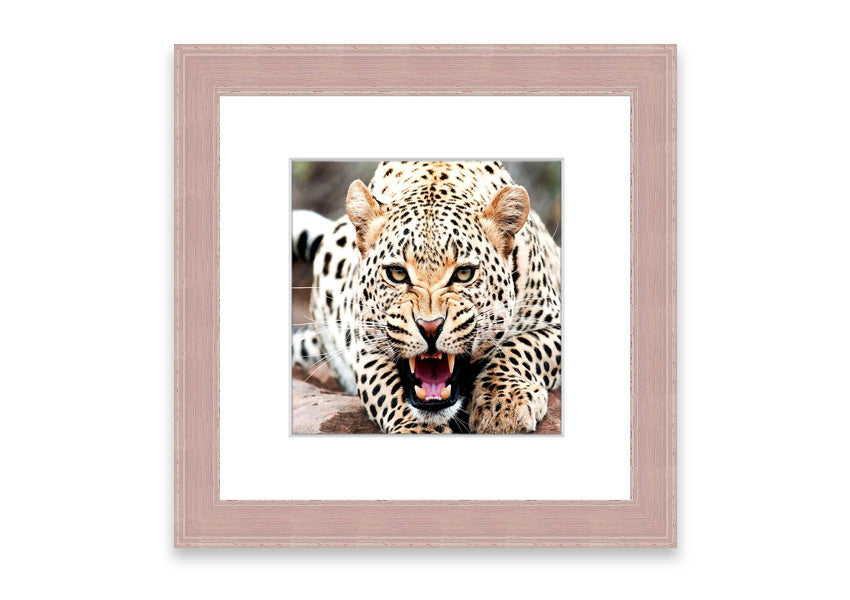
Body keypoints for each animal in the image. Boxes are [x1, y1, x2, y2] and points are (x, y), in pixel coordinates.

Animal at [292, 161, 561, 433]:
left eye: (464, 273)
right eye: (397, 273)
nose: (430, 328)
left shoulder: (553, 323)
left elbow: (519, 348)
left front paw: (502, 404)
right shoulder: (367, 347)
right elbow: (389, 390)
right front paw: (418, 429)